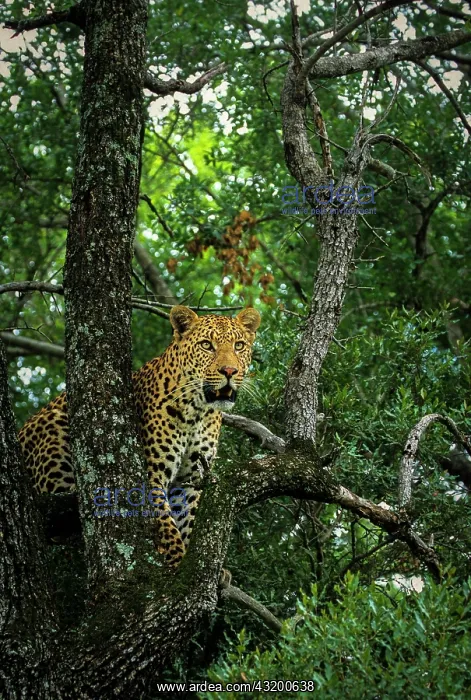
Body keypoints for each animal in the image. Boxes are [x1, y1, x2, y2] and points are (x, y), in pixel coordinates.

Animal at [18, 305, 261, 566]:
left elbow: (186, 521)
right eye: (206, 345)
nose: (229, 371)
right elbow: (165, 523)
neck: (197, 411)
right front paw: (176, 562)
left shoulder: (191, 479)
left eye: (239, 346)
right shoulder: (152, 474)